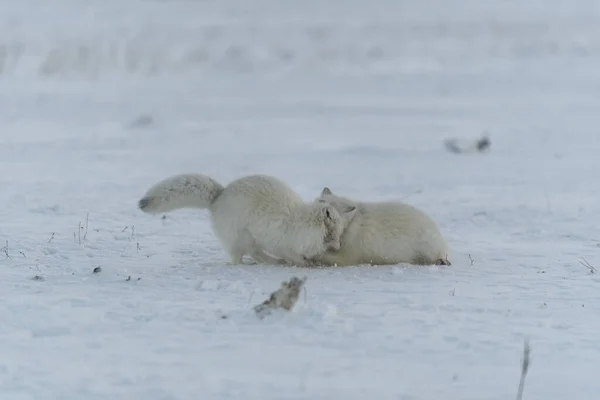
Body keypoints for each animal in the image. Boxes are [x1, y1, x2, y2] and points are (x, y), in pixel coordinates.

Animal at [138, 174, 356, 266]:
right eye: (334, 232)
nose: (339, 246)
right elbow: (292, 256)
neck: (301, 224)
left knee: (255, 254)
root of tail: (220, 195)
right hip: (241, 238)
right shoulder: (279, 242)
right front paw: (305, 263)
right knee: (243, 257)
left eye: (341, 232)